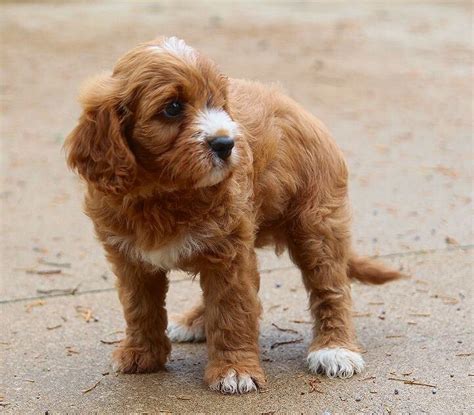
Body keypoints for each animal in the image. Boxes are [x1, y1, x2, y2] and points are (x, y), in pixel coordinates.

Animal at [65, 37, 402, 394]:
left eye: (218, 103)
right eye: (172, 107)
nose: (226, 144)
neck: (162, 192)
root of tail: (302, 112)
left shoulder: (228, 250)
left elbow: (232, 309)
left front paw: (234, 370)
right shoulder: (131, 257)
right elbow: (139, 307)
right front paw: (142, 354)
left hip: (316, 224)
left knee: (331, 288)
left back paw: (334, 349)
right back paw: (195, 321)